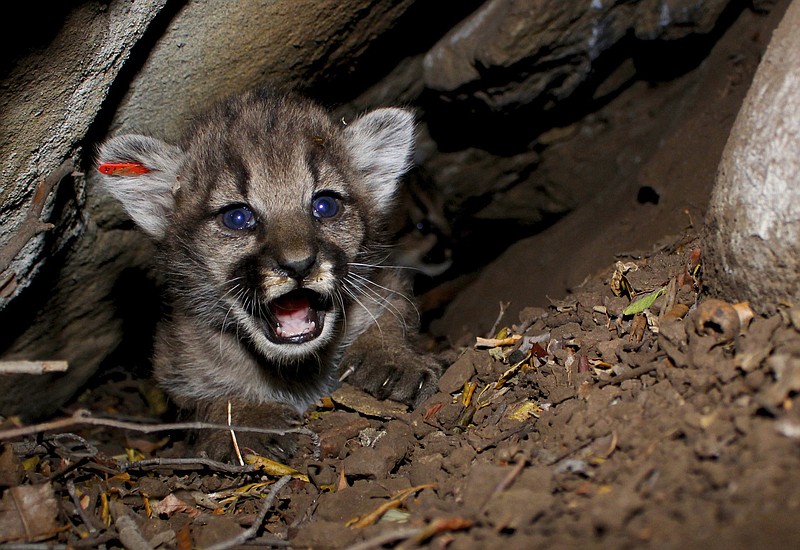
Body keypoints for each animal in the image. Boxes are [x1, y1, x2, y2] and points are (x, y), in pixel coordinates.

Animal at [98, 89, 444, 462]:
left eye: (325, 205)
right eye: (237, 217)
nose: (299, 264)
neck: (297, 370)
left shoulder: (386, 283)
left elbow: (394, 312)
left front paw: (390, 359)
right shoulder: (174, 360)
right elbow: (204, 397)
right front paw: (248, 420)